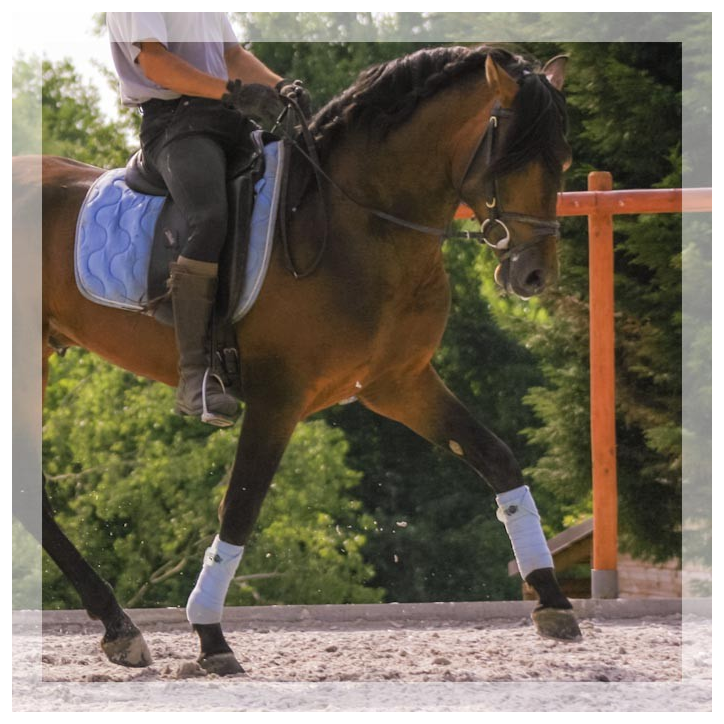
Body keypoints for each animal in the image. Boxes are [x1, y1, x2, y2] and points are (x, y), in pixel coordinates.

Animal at [17, 45, 576, 676]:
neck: (363, 225)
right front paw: (210, 637)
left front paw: (553, 602)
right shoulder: (278, 398)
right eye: (511, 156)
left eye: (562, 159)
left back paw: (119, 629)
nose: (534, 276)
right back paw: (122, 628)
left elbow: (496, 458)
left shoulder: (399, 384)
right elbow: (240, 506)